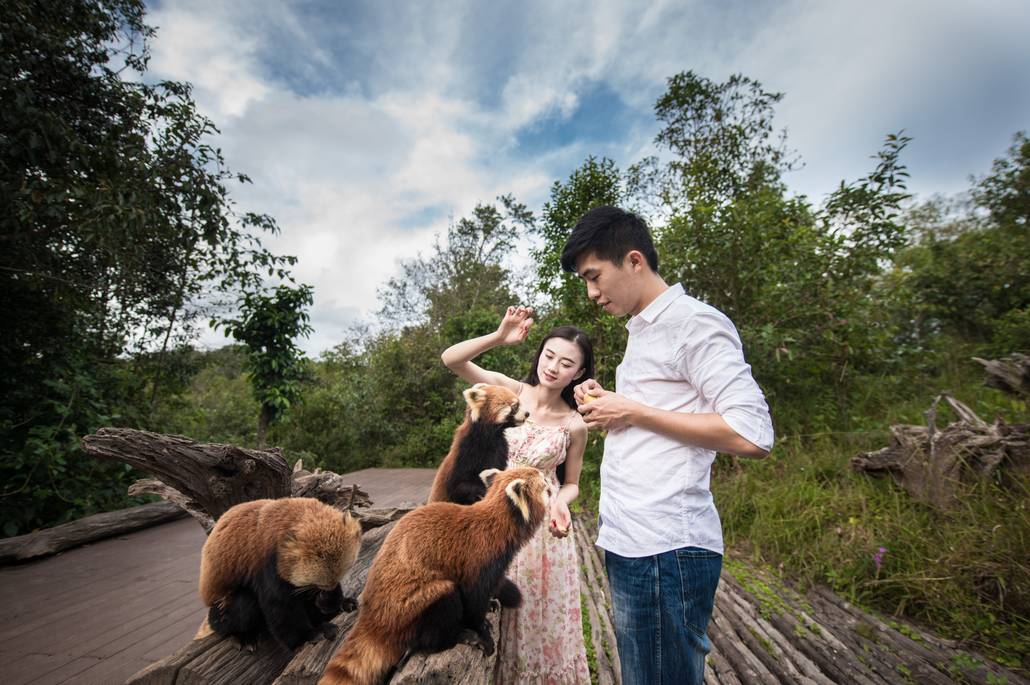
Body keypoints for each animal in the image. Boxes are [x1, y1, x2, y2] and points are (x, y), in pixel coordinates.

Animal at [198, 496, 364, 646]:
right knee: (243, 606)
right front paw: (310, 634)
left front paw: (338, 603)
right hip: (222, 607)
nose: (327, 594)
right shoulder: (267, 567)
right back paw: (244, 637)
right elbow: (281, 607)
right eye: (318, 584)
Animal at [319, 465, 556, 683]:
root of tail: (372, 619)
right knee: (442, 607)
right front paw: (483, 634)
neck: (498, 524)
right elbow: (473, 602)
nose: (552, 482)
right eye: (544, 481)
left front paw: (491, 604)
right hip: (417, 604)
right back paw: (459, 636)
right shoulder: (479, 560)